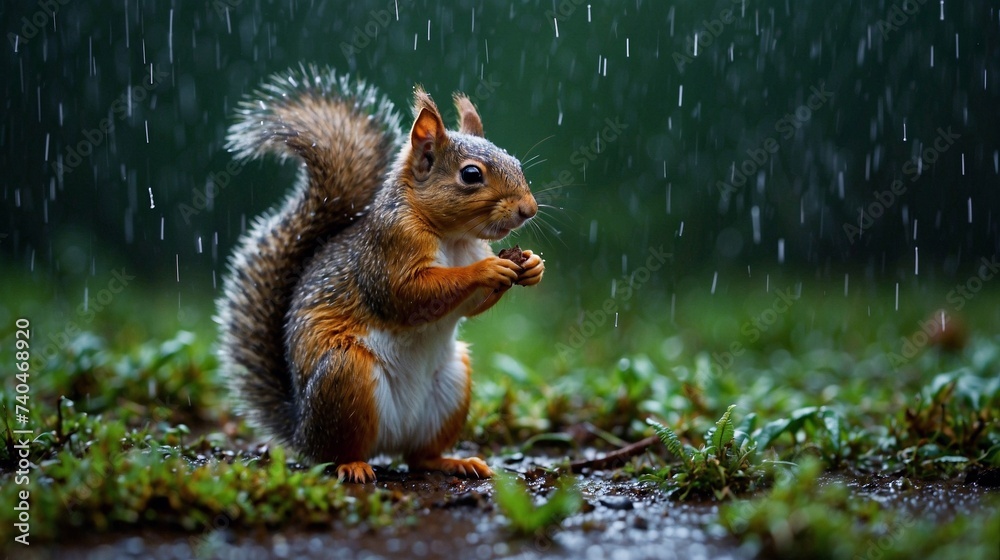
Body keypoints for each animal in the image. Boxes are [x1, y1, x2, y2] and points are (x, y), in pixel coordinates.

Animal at [216, 65, 543, 483]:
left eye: (515, 162)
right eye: (471, 175)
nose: (528, 209)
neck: (453, 238)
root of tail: (300, 429)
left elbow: (467, 308)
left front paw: (531, 265)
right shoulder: (388, 250)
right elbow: (408, 295)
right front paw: (488, 269)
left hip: (451, 384)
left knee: (419, 456)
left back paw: (452, 461)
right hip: (346, 374)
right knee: (335, 453)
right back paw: (353, 465)